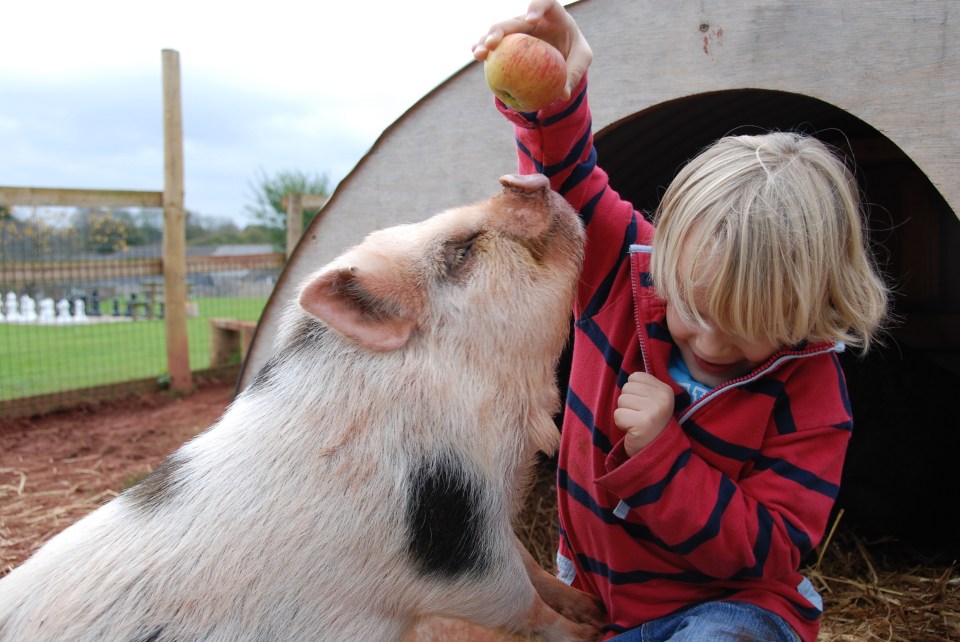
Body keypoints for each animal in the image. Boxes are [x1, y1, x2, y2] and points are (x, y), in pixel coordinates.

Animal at [0, 174, 600, 640]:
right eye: (463, 249)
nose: (522, 179)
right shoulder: (450, 546)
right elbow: (520, 604)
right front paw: (592, 630)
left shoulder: (488, 515)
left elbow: (533, 565)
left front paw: (590, 605)